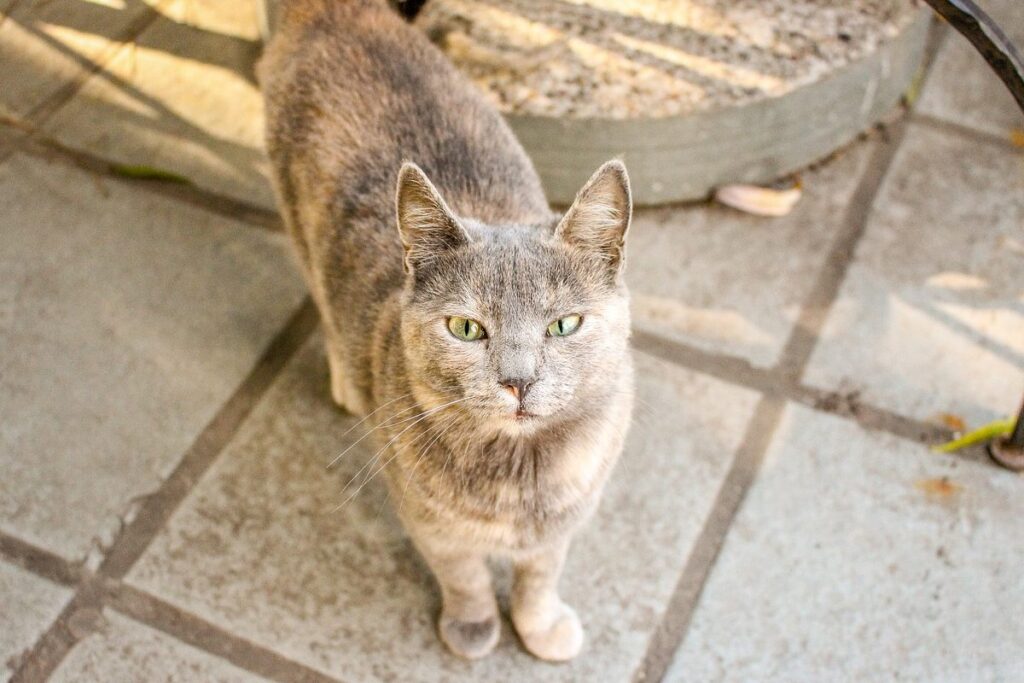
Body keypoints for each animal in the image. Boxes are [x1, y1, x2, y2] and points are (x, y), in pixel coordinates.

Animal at [258, 0, 630, 663]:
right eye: (465, 327)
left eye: (564, 324)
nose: (518, 381)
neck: (519, 479)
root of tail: (340, 12)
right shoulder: (427, 520)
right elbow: (464, 575)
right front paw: (474, 629)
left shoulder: (567, 517)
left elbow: (542, 573)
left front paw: (541, 627)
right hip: (295, 216)